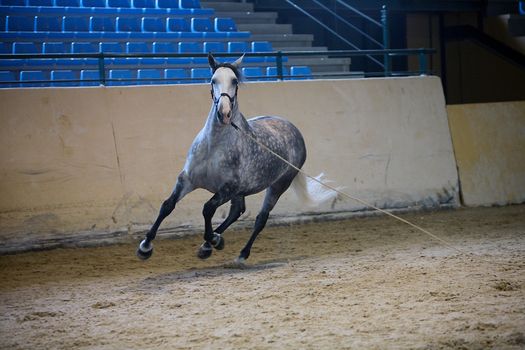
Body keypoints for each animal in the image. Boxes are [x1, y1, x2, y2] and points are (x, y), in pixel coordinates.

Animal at [135, 53, 332, 264]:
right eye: (213, 80)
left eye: (235, 81)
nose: (224, 113)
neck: (213, 147)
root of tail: (293, 129)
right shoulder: (187, 179)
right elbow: (167, 205)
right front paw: (145, 247)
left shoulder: (228, 188)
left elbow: (207, 209)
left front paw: (214, 239)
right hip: (242, 191)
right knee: (237, 210)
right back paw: (209, 245)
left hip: (278, 185)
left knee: (260, 219)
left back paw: (239, 252)